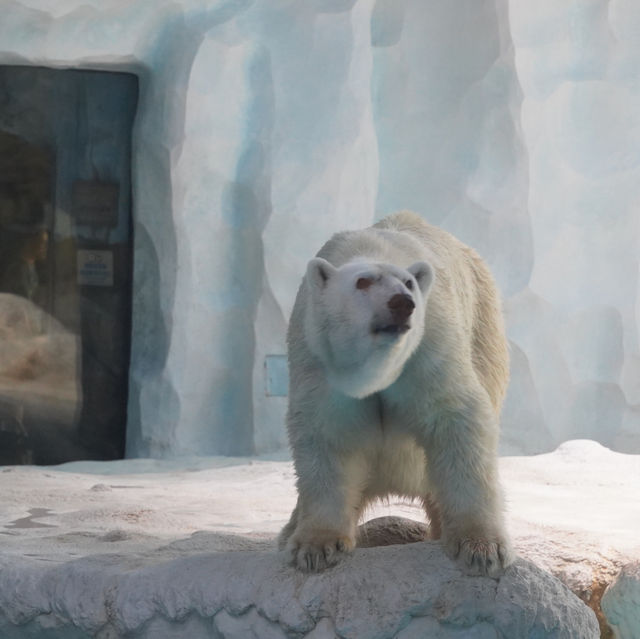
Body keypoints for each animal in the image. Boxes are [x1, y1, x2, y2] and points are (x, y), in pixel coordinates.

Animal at [280, 212, 516, 576]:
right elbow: (326, 434)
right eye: (362, 281)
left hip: (483, 327)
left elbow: (457, 417)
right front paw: (316, 547)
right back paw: (289, 531)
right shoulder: (319, 358)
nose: (402, 304)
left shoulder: (430, 343)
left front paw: (481, 547)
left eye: (409, 283)